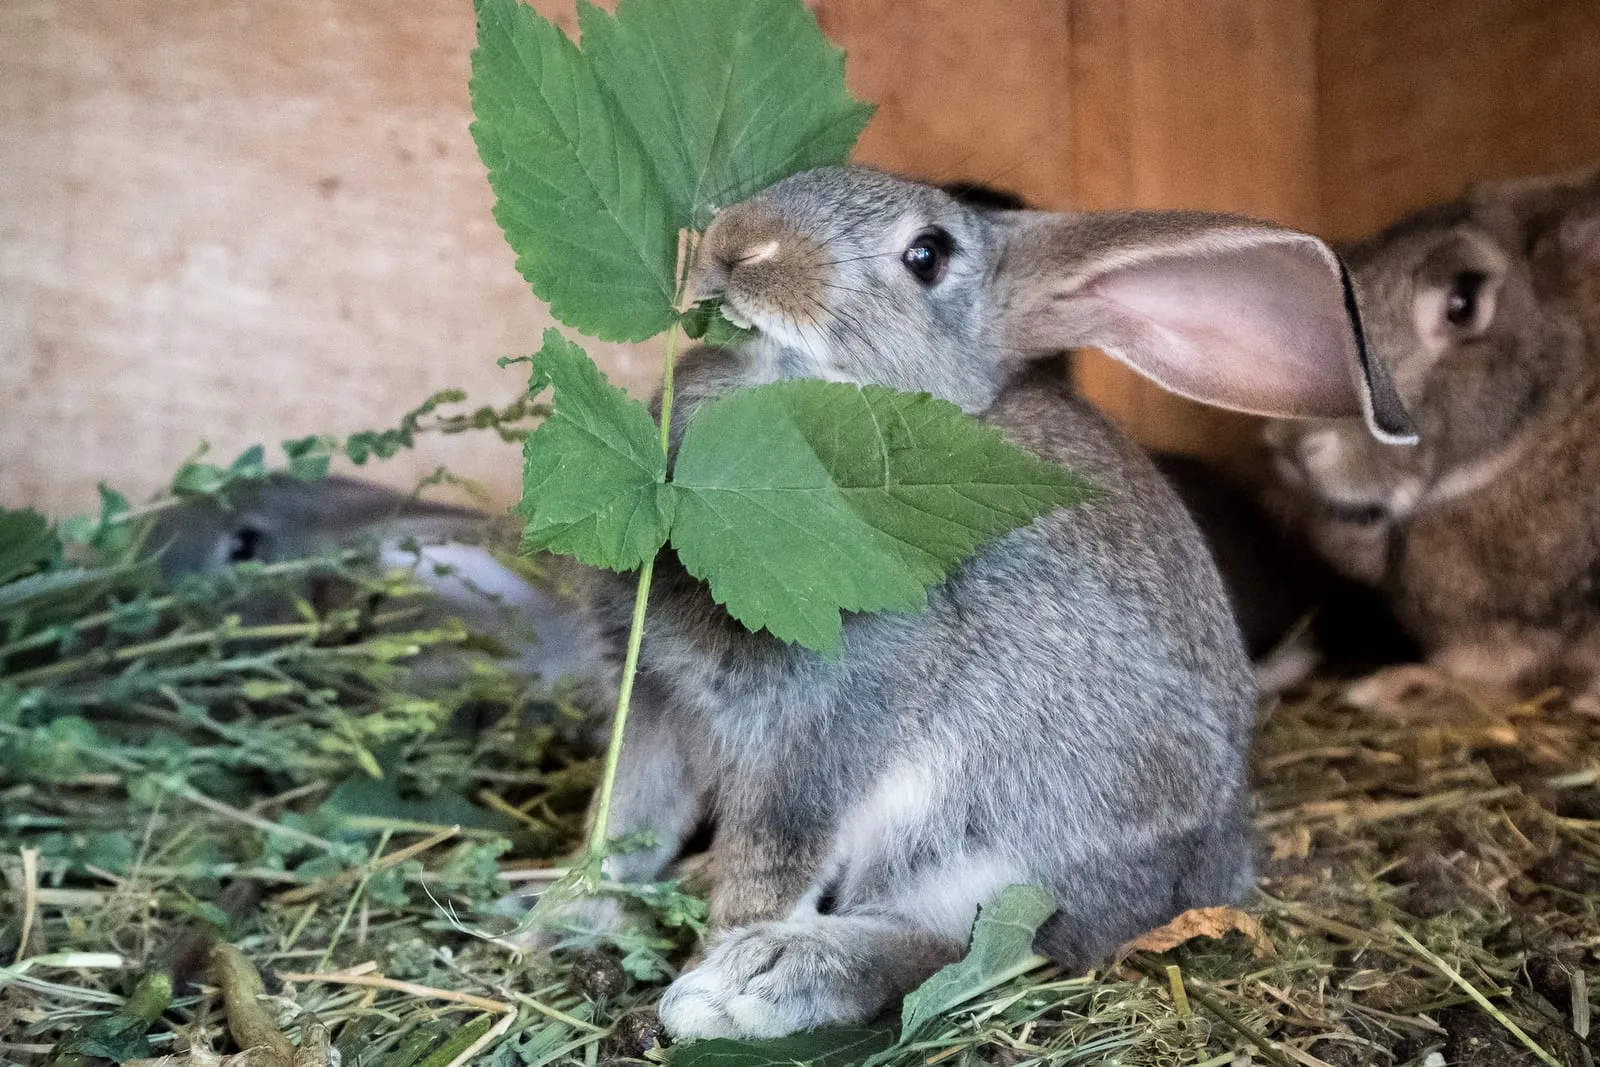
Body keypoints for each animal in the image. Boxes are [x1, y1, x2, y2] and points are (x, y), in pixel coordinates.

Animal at [549, 165, 1411, 1041]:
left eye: (927, 254)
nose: (738, 247)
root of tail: (1212, 874)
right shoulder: (654, 699)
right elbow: (626, 819)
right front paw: (564, 916)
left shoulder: (829, 723)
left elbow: (773, 853)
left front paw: (718, 958)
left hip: (980, 835)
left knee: (966, 944)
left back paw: (765, 977)